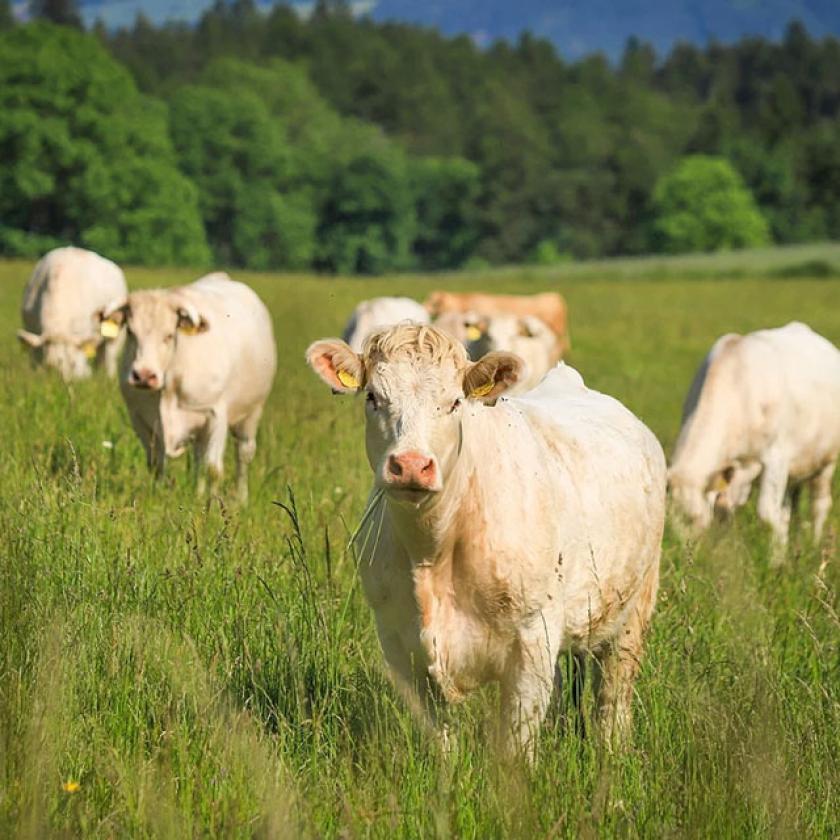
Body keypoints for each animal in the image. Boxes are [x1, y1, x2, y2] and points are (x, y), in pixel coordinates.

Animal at [104, 272, 276, 502]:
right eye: (131, 332)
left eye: (169, 335)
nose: (144, 375)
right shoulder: (140, 418)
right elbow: (157, 465)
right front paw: (157, 498)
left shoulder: (216, 416)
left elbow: (213, 469)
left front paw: (213, 506)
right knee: (198, 459)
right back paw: (198, 494)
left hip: (251, 414)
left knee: (243, 454)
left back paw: (241, 500)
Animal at [306, 322, 668, 756]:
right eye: (373, 397)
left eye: (455, 402)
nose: (411, 465)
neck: (432, 550)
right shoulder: (399, 644)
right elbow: (441, 741)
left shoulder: (532, 641)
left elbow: (515, 747)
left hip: (633, 612)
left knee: (613, 701)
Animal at [668, 322, 840, 552]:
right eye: (668, 525)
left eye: (694, 518)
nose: (685, 554)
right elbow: (727, 513)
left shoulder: (777, 457)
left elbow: (767, 513)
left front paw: (777, 558)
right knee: (790, 508)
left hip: (826, 463)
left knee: (819, 504)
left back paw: (814, 544)